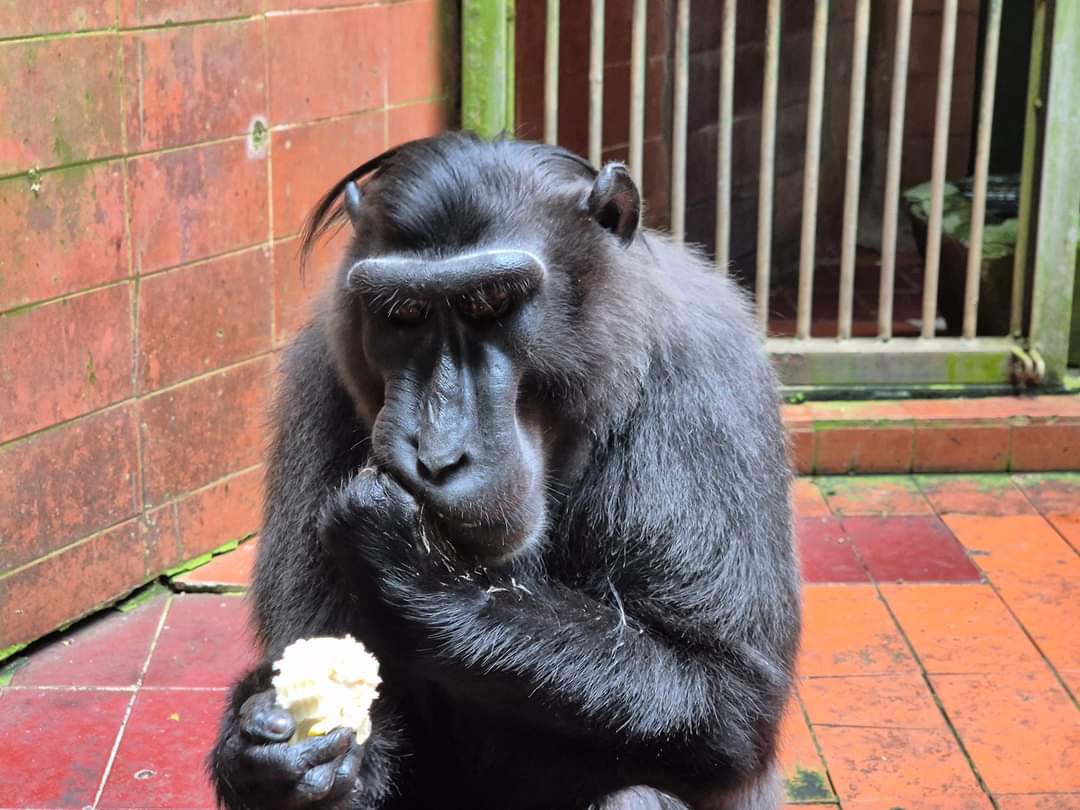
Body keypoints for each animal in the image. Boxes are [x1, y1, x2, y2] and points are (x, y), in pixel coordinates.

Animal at [209, 132, 800, 810]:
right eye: (403, 313)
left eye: (490, 302)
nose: (436, 455)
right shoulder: (318, 376)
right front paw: (263, 754)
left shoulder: (706, 377)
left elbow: (727, 696)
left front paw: (420, 572)